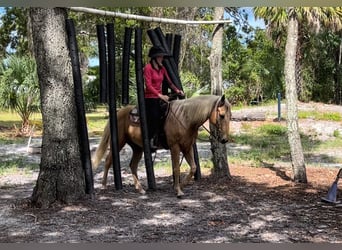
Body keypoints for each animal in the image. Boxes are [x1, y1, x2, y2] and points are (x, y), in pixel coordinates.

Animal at [91, 94, 231, 197]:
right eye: (222, 115)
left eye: (230, 116)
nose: (224, 139)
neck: (184, 118)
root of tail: (119, 112)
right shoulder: (175, 147)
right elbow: (176, 168)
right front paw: (178, 190)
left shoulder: (187, 147)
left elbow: (193, 167)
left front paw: (182, 185)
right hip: (119, 142)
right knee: (108, 160)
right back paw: (103, 185)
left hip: (137, 148)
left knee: (133, 165)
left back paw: (140, 189)